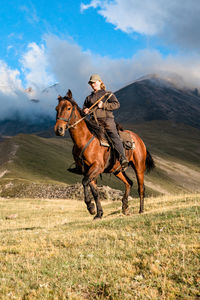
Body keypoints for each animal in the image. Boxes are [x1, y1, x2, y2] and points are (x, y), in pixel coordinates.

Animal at [53, 88, 155, 218]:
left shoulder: (97, 167)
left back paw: (141, 210)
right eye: (57, 108)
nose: (58, 129)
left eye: (68, 108)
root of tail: (138, 139)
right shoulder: (88, 170)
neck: (85, 139)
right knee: (129, 183)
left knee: (141, 188)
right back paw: (125, 207)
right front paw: (98, 213)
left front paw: (90, 207)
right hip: (117, 170)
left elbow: (84, 182)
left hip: (139, 168)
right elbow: (94, 191)